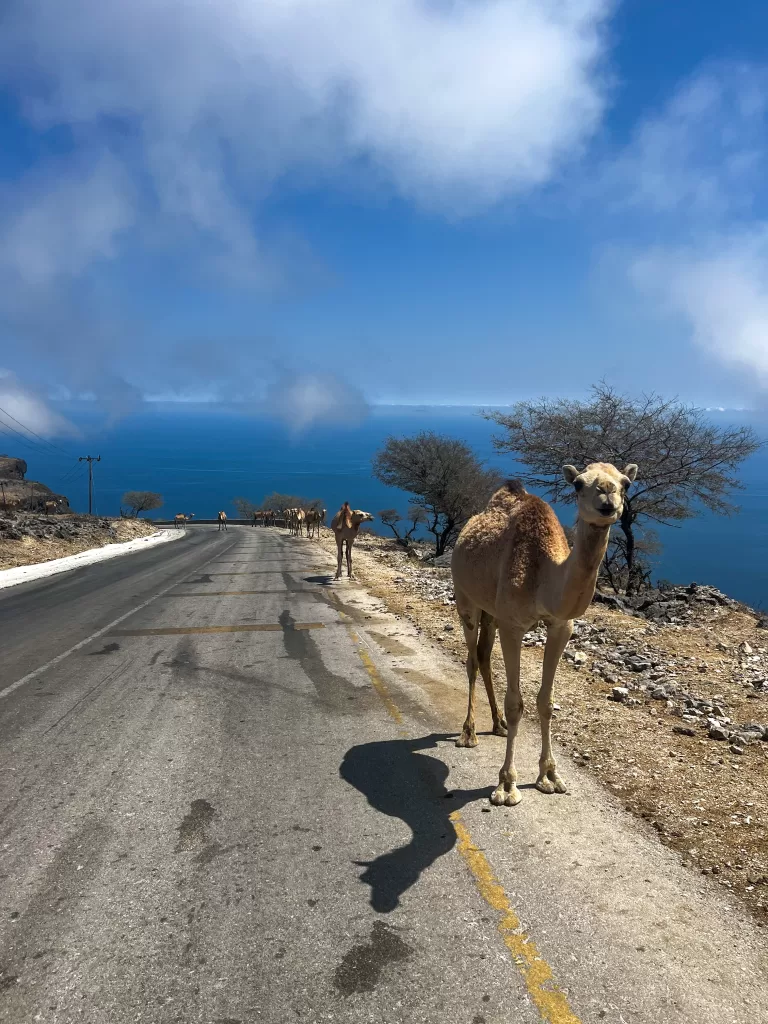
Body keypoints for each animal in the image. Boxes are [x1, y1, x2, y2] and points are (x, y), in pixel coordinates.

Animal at [451, 462, 638, 807]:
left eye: (626, 483)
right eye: (578, 484)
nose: (607, 497)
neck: (544, 577)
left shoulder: (562, 626)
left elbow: (546, 702)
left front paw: (549, 776)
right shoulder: (513, 626)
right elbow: (517, 703)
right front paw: (506, 785)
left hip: (491, 611)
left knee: (483, 656)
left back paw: (497, 723)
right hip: (466, 598)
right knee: (471, 659)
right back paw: (468, 733)